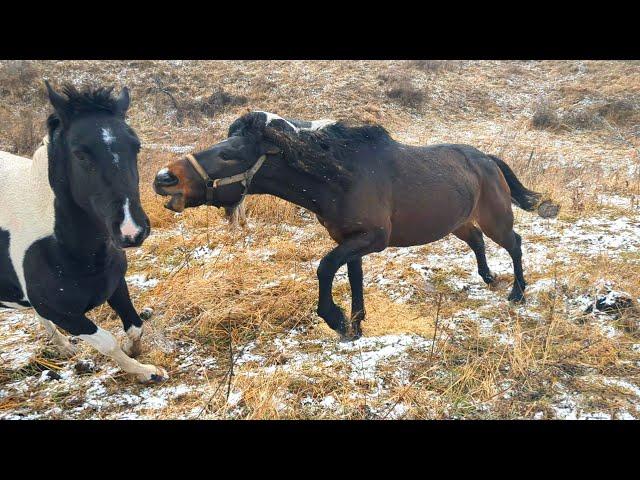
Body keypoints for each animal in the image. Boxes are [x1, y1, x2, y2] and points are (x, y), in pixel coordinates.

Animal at [0, 82, 168, 382]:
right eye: (80, 154)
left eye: (136, 146)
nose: (132, 231)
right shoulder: (65, 315)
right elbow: (108, 342)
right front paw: (147, 372)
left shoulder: (115, 283)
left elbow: (135, 326)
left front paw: (134, 351)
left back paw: (65, 348)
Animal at [152, 110, 556, 340]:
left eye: (228, 154)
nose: (163, 179)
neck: (340, 176)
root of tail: (486, 158)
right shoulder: (351, 239)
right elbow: (353, 278)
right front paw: (357, 325)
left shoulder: (373, 238)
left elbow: (325, 267)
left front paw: (336, 319)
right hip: (456, 222)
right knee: (477, 241)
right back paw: (488, 278)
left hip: (495, 217)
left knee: (514, 242)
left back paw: (517, 293)